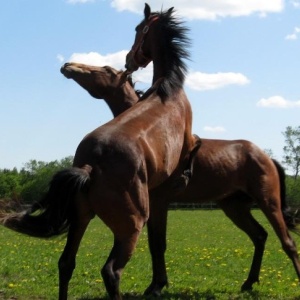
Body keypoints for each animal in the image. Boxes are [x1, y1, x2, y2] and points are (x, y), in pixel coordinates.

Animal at [0, 4, 197, 300]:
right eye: (137, 29)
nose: (129, 59)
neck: (167, 89)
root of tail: (89, 166)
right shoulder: (187, 140)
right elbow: (194, 148)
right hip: (130, 227)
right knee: (111, 272)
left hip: (80, 219)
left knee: (66, 263)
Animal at [61, 58, 300, 296]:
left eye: (107, 70)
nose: (68, 66)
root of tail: (266, 157)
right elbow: (155, 244)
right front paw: (156, 284)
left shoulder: (159, 202)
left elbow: (158, 244)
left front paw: (157, 286)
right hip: (234, 207)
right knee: (259, 236)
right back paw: (248, 283)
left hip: (268, 202)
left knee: (287, 242)